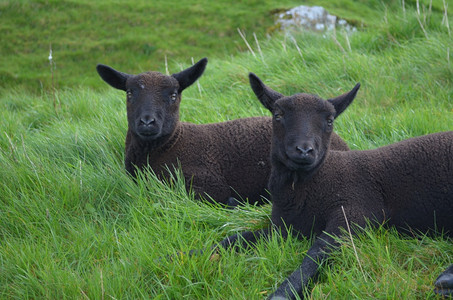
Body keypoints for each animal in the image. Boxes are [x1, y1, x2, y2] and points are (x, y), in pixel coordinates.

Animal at [216, 72, 452, 298]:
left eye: (329, 121)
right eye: (278, 115)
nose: (304, 150)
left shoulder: (354, 211)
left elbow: (317, 253)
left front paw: (283, 293)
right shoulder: (284, 228)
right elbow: (235, 239)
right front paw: (208, 253)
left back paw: (446, 281)